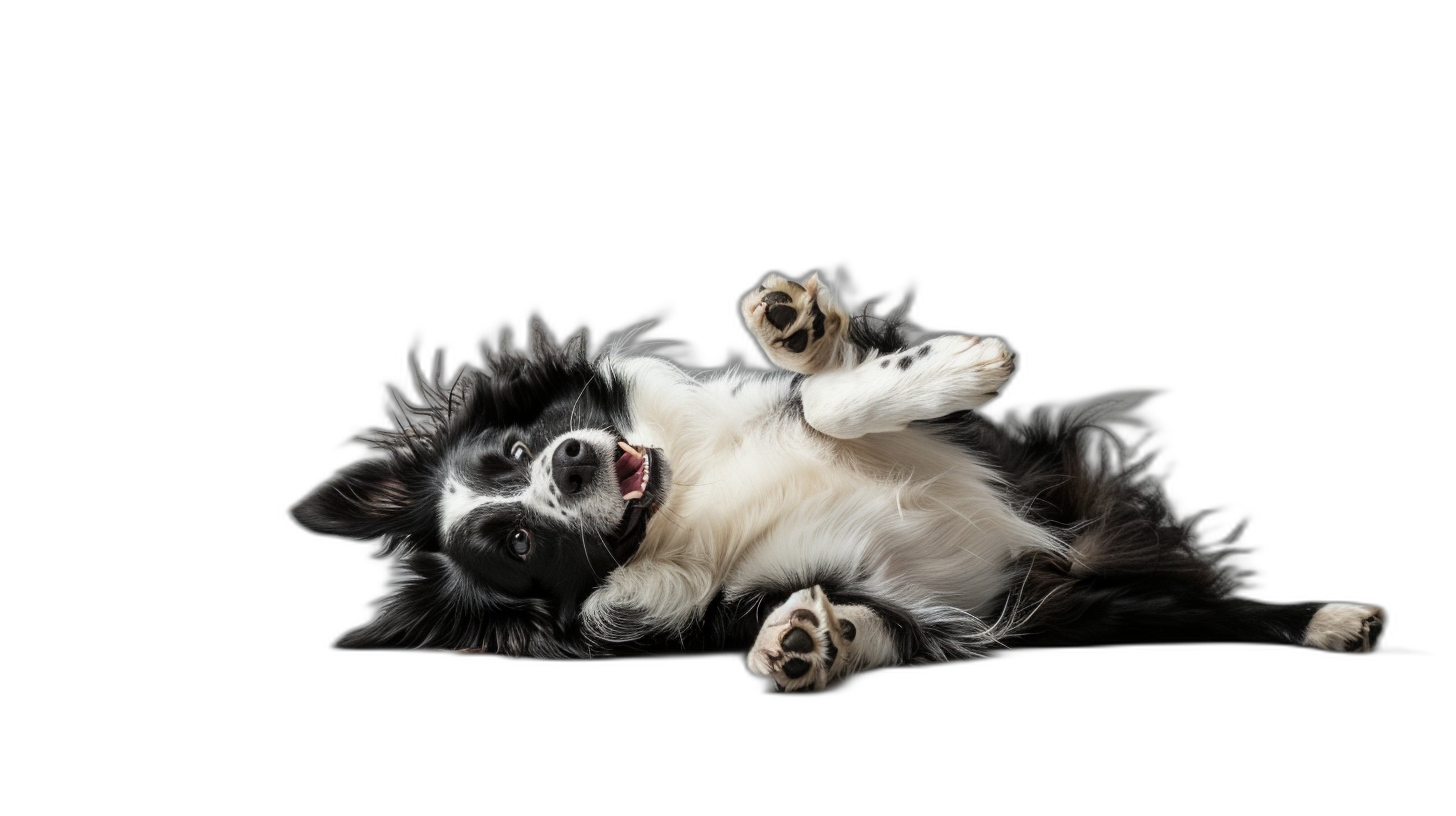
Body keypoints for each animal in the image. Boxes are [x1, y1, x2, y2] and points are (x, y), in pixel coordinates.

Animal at [286, 272, 1386, 687]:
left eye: (511, 452)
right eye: (516, 540)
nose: (572, 457)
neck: (679, 503)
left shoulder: (975, 445)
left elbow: (825, 398)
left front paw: (809, 327)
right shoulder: (923, 608)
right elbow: (867, 621)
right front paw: (806, 642)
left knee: (1225, 605)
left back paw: (1332, 618)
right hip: (1091, 607)